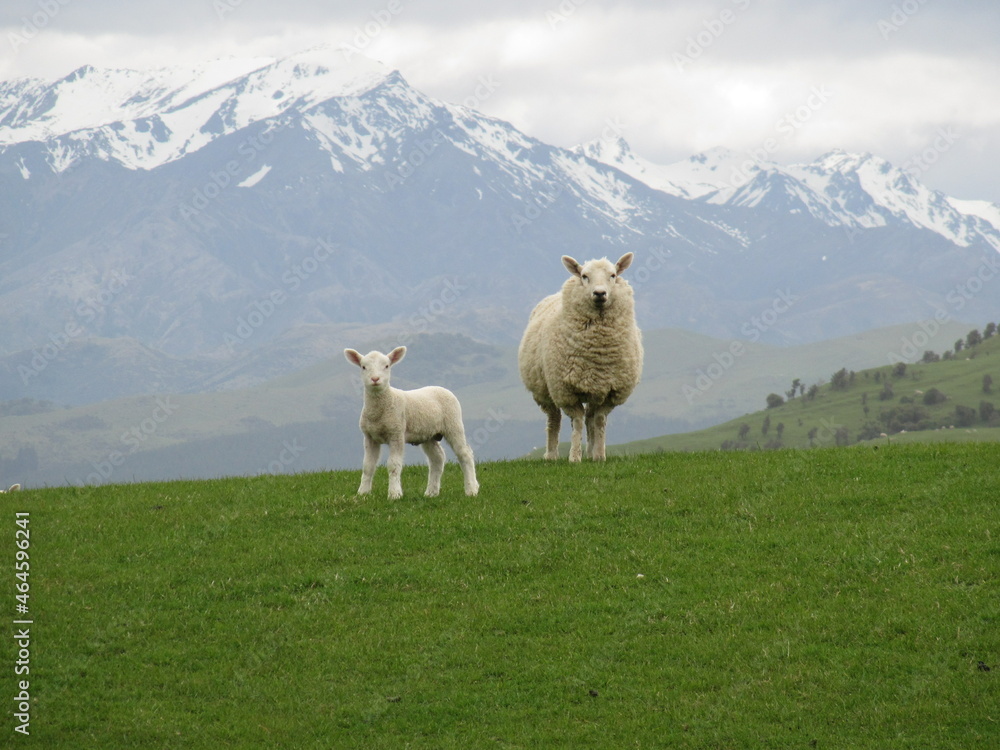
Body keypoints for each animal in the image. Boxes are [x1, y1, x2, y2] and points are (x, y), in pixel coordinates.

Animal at [344, 346, 479, 499]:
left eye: (386, 366)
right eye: (363, 367)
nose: (375, 379)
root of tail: (441, 388)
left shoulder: (396, 433)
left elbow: (393, 465)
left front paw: (394, 494)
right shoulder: (369, 437)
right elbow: (368, 466)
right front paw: (362, 493)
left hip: (453, 424)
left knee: (465, 454)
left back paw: (471, 489)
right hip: (429, 434)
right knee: (437, 458)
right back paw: (431, 492)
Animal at [518, 252, 643, 462]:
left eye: (613, 275)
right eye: (584, 276)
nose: (599, 293)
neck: (597, 353)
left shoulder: (610, 391)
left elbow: (598, 421)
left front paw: (599, 455)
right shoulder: (566, 391)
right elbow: (576, 421)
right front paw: (575, 457)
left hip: (594, 391)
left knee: (590, 418)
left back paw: (591, 452)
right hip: (545, 389)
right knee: (554, 419)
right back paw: (551, 455)